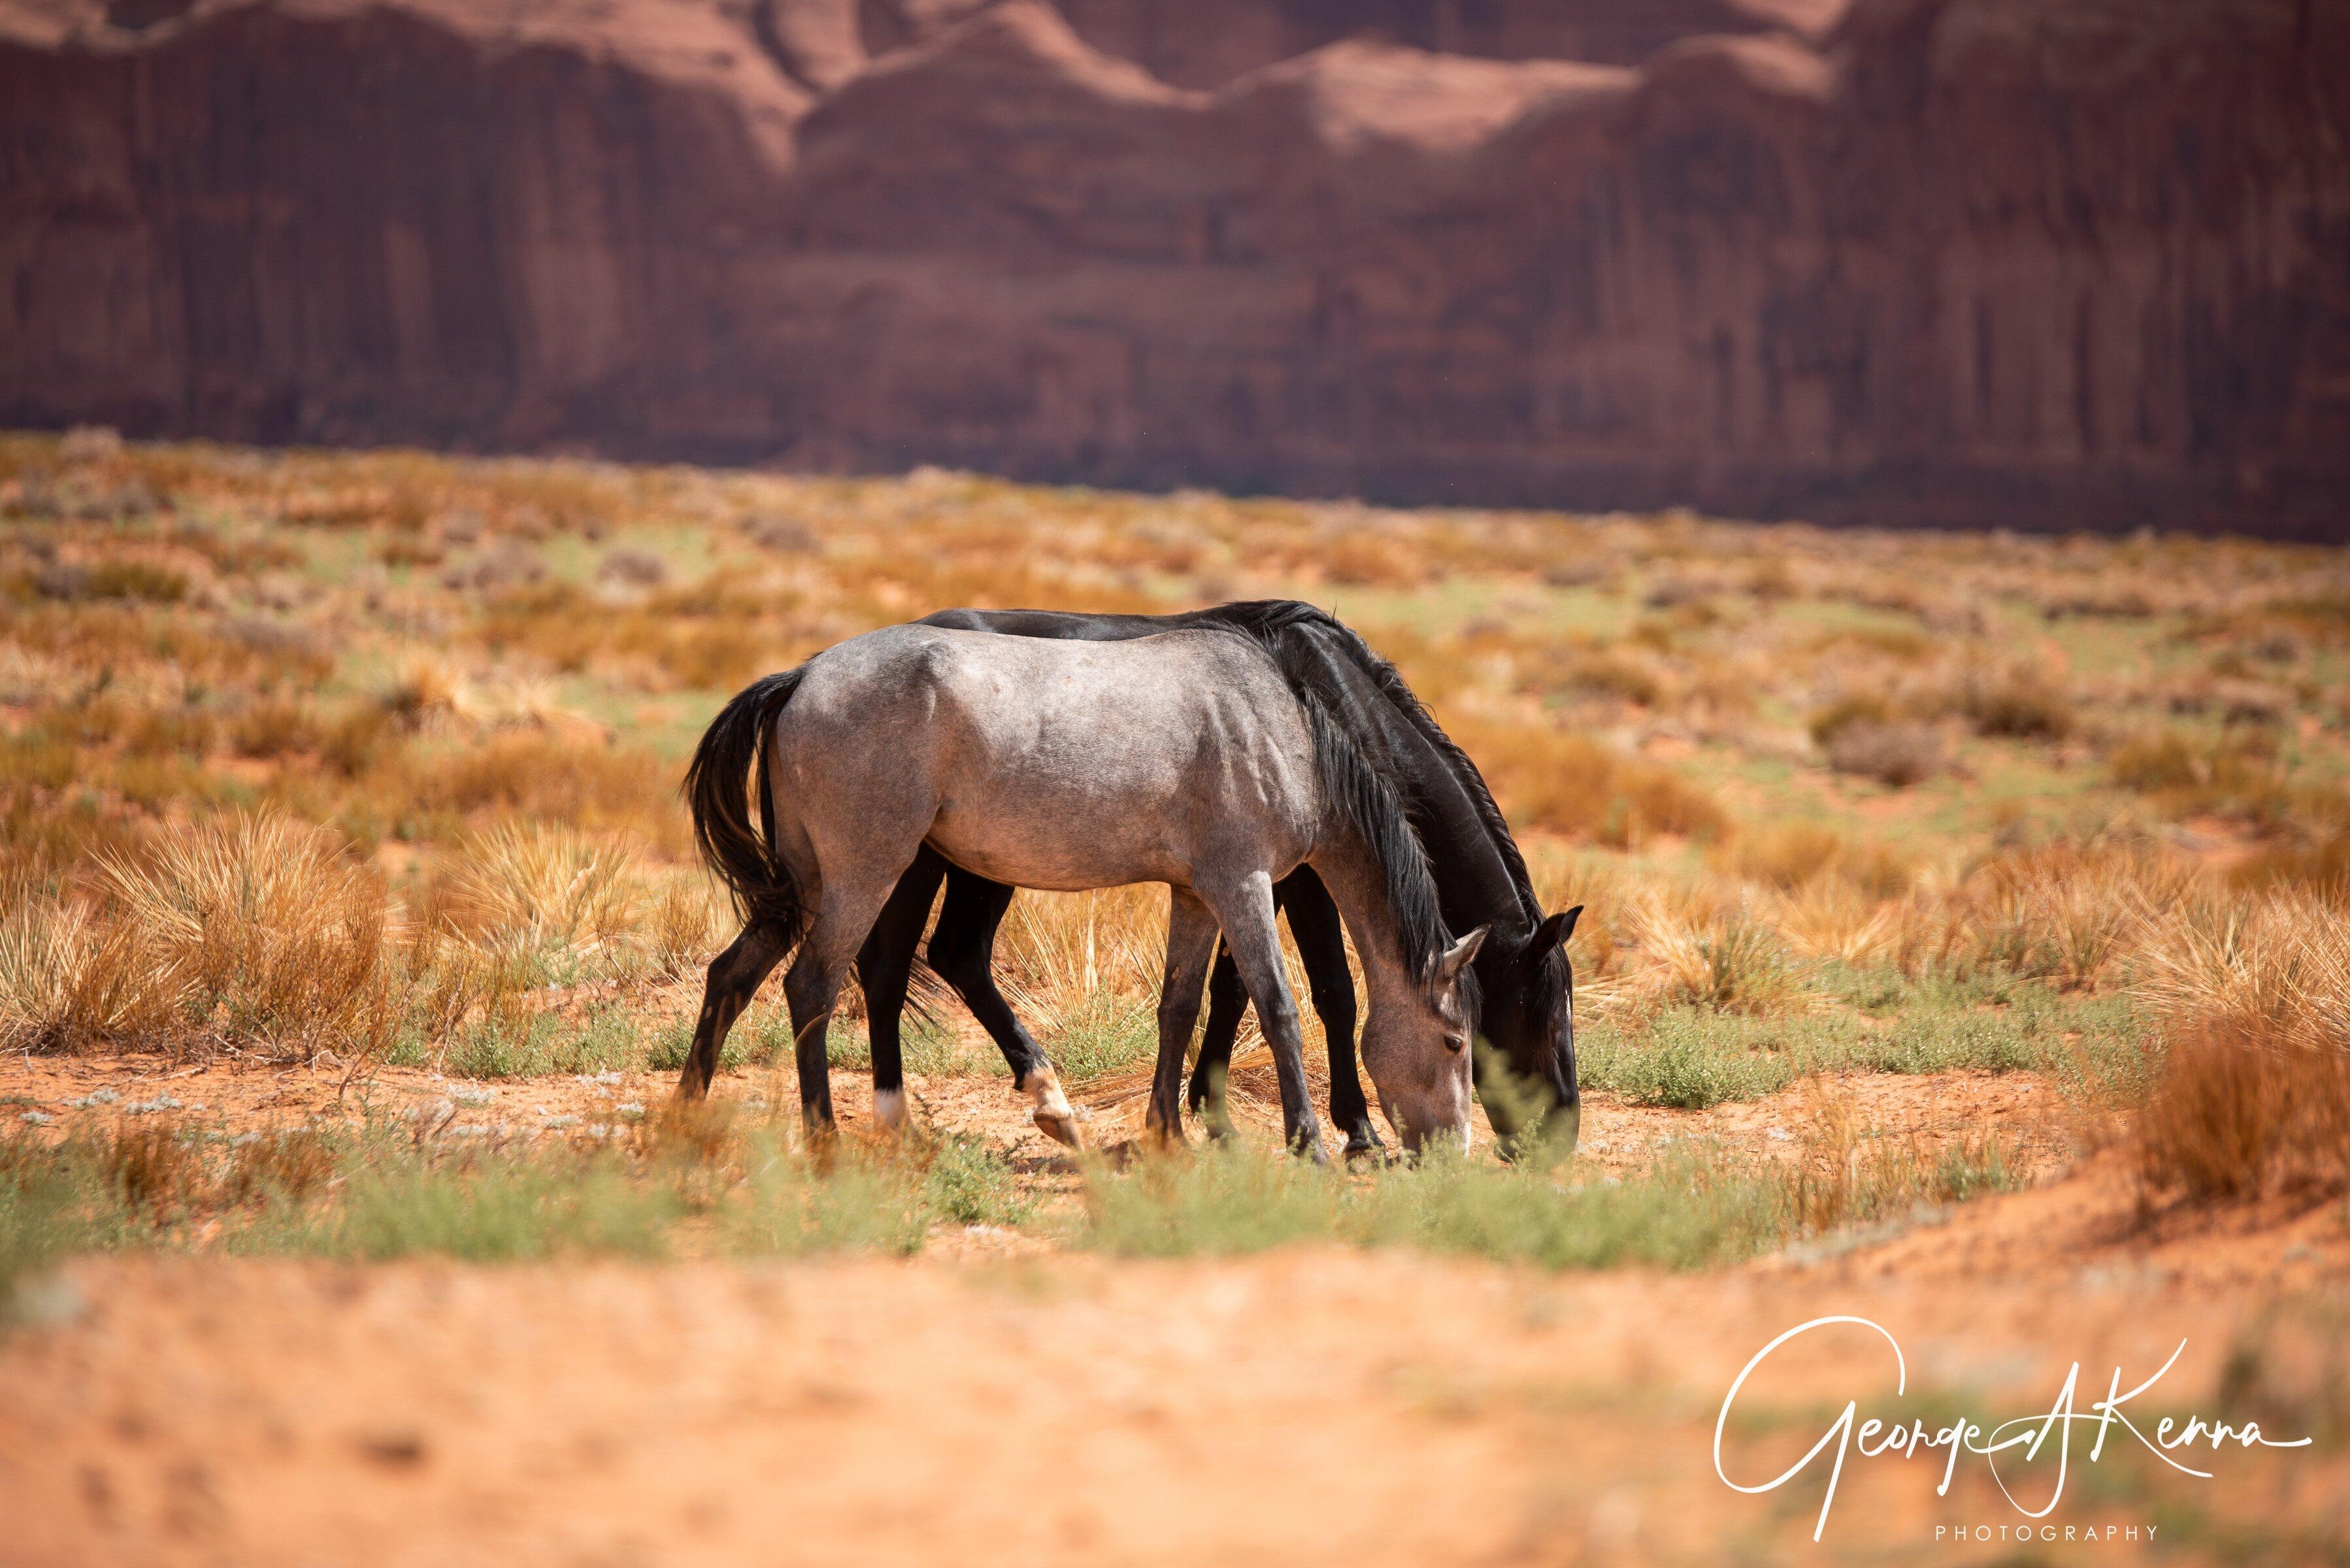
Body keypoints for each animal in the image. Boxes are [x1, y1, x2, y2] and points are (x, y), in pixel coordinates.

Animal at [681, 620, 1485, 1152]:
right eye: (1454, 1041)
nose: (1453, 1153)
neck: (1282, 733)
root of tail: (802, 678)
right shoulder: (1244, 885)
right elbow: (1278, 1006)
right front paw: (1311, 1141)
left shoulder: (1196, 895)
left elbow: (1178, 1006)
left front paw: (1168, 1132)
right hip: (864, 874)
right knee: (811, 986)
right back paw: (824, 1139)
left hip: (807, 883)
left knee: (734, 974)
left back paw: (685, 1116)